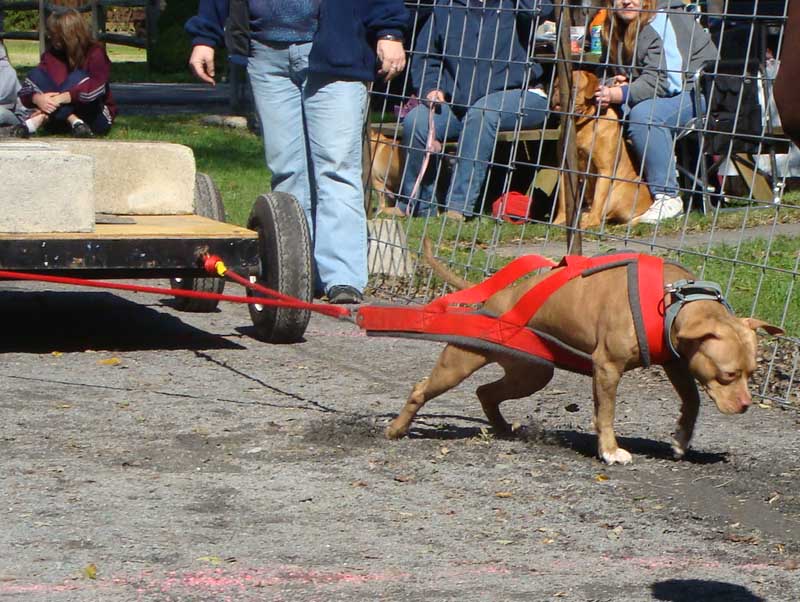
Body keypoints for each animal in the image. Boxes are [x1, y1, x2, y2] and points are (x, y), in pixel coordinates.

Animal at [384, 239, 784, 464]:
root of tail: (500, 296)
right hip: (462, 360)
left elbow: (693, 401)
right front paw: (609, 450)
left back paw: (501, 428)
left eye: (752, 373)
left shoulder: (676, 362)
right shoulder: (606, 367)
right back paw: (397, 428)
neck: (673, 299)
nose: (746, 405)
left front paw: (681, 440)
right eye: (728, 374)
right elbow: (605, 414)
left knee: (487, 392)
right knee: (423, 388)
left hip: (532, 371)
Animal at [552, 69, 652, 227]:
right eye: (556, 86)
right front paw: (559, 220)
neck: (581, 126)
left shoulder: (604, 170)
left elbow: (598, 199)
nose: (557, 95)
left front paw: (590, 222)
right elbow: (562, 199)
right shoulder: (565, 167)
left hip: (619, 193)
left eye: (574, 87)